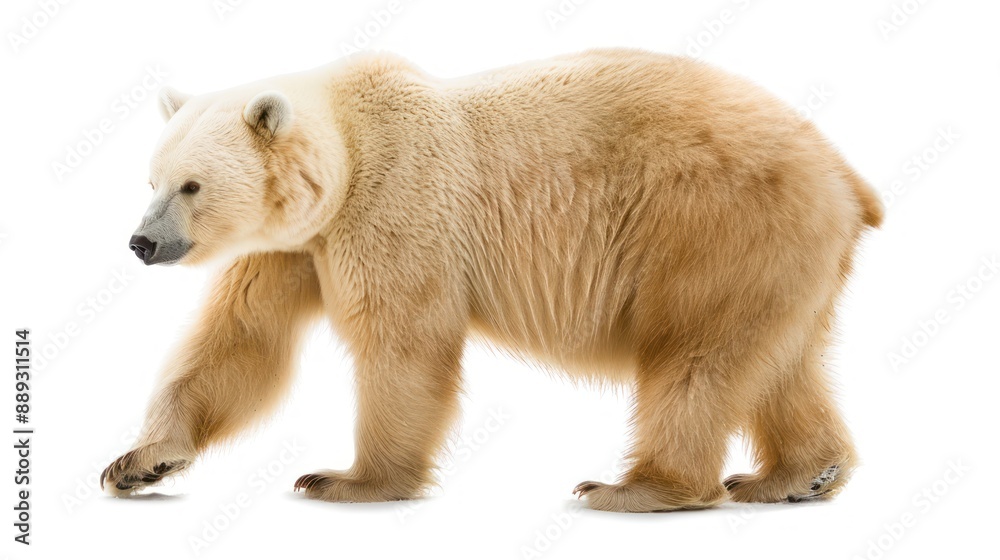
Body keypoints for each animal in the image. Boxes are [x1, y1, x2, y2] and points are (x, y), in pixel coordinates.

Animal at [101, 48, 883, 512]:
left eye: (192, 185)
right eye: (151, 178)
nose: (141, 242)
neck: (347, 151)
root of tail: (846, 176)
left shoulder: (398, 201)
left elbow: (404, 338)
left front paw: (348, 479)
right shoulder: (296, 246)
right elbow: (241, 340)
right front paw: (140, 463)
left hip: (713, 223)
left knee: (694, 355)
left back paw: (635, 487)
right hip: (782, 254)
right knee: (780, 358)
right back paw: (798, 475)